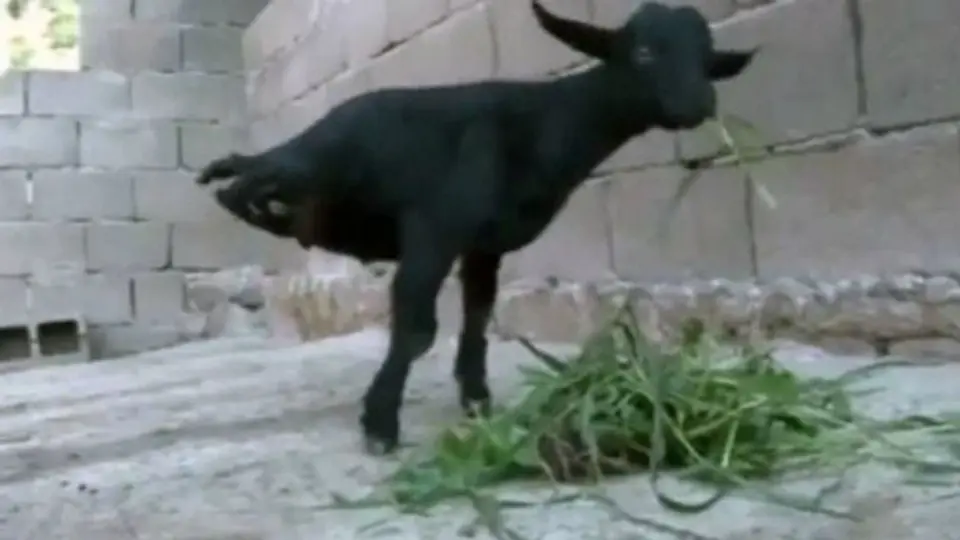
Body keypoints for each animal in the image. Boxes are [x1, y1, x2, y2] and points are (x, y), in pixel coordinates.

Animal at [195, 0, 758, 455]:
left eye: (708, 57)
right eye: (643, 52)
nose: (699, 104)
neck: (548, 124)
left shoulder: (484, 245)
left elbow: (478, 314)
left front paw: (476, 399)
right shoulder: (434, 228)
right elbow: (418, 329)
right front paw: (380, 422)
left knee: (248, 183)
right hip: (314, 160)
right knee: (244, 182)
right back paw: (258, 196)